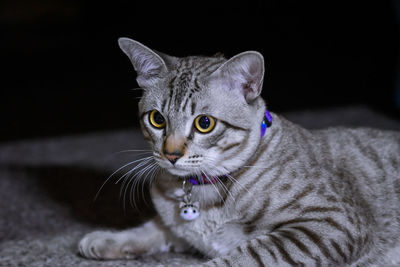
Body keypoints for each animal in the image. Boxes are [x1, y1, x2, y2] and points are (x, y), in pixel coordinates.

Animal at [78, 38, 400, 267]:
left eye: (204, 123)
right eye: (157, 119)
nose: (171, 154)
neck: (202, 192)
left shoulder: (333, 222)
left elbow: (248, 255)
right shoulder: (179, 228)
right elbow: (153, 228)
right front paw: (109, 239)